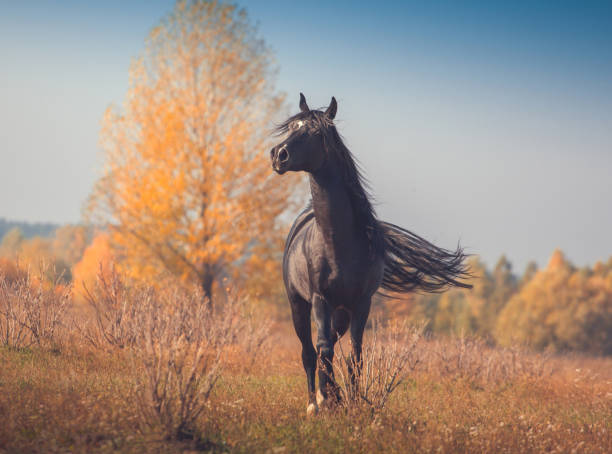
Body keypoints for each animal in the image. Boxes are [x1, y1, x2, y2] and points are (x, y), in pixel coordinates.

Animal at [270, 93, 470, 414]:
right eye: (292, 127)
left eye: (315, 133)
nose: (279, 155)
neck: (338, 243)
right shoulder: (319, 299)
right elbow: (323, 348)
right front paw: (328, 398)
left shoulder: (362, 303)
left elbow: (355, 355)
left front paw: (350, 401)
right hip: (297, 303)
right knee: (309, 351)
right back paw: (313, 402)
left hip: (341, 312)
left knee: (326, 345)